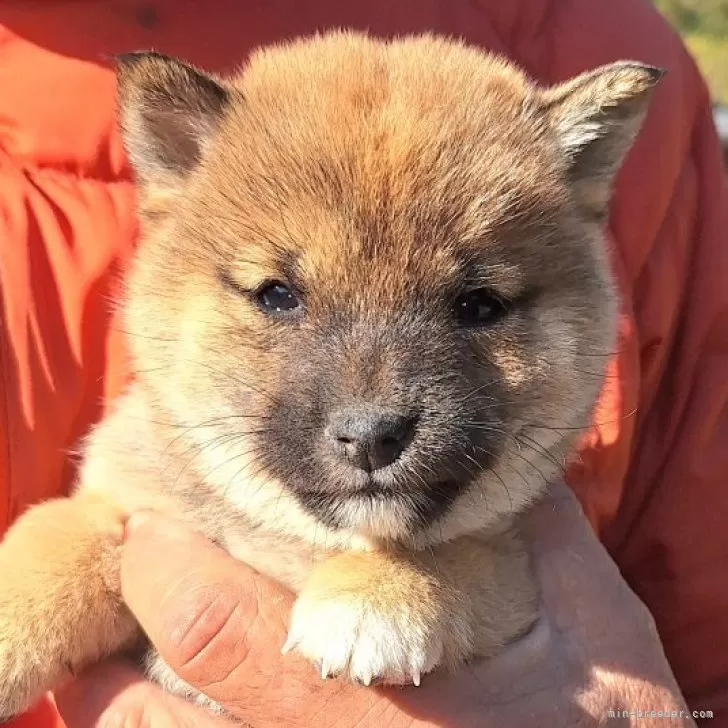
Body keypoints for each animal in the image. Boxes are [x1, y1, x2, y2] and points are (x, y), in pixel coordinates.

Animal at [0, 31, 664, 720]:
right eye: (278, 296)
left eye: (479, 306)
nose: (371, 436)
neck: (295, 543)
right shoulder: (131, 508)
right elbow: (51, 537)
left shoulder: (512, 571)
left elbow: (455, 549)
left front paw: (375, 596)